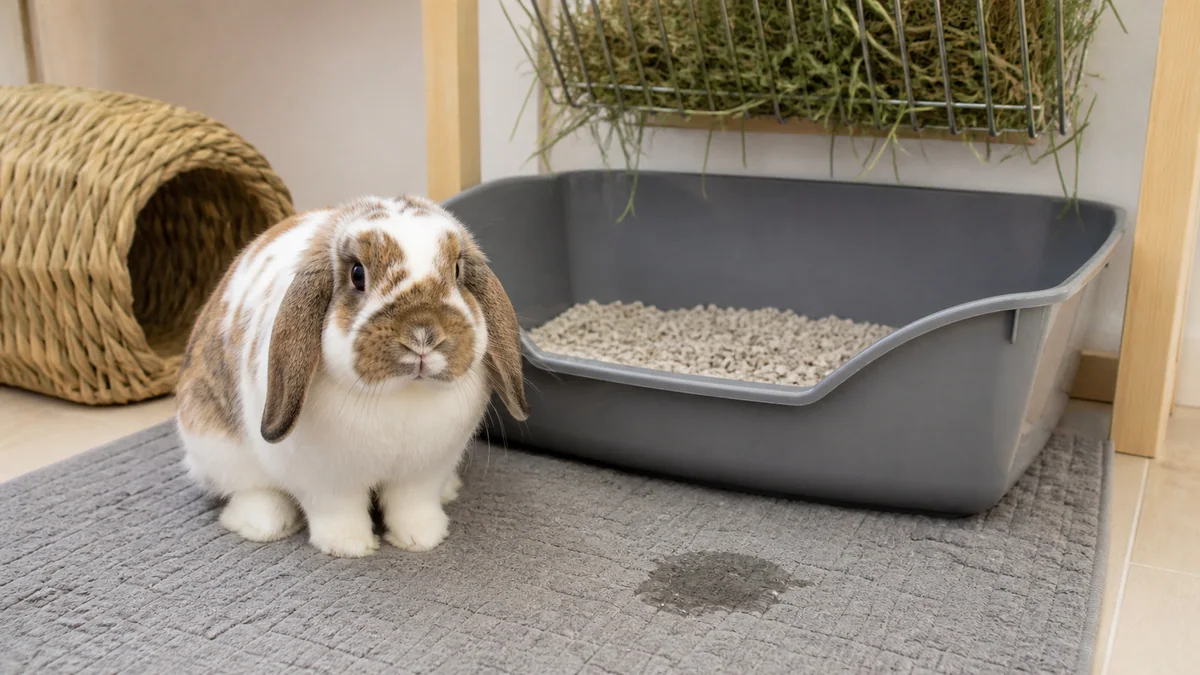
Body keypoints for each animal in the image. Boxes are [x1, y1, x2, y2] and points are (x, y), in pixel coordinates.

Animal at [174, 195, 528, 558]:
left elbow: (413, 506)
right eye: (358, 273)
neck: (402, 395)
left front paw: (422, 539)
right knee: (246, 490)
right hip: (216, 448)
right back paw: (265, 524)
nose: (422, 335)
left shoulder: (422, 474)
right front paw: (349, 548)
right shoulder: (327, 483)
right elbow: (338, 513)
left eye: (457, 270)